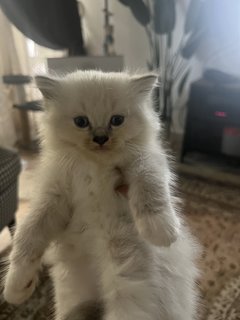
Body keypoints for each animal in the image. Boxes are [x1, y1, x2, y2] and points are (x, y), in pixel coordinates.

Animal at [3, 70, 200, 320]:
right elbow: (25, 239)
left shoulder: (145, 161)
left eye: (117, 120)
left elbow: (151, 191)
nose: (100, 138)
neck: (95, 167)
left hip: (128, 291)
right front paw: (16, 290)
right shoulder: (54, 196)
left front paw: (161, 232)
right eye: (81, 122)